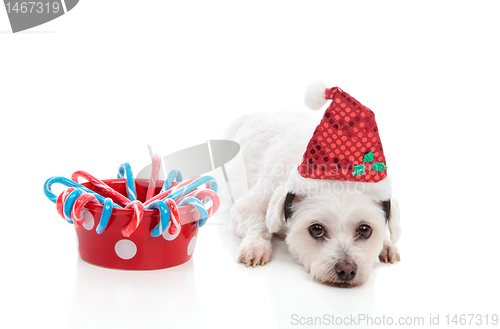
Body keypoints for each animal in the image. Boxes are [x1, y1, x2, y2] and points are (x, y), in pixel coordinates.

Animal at [225, 85, 400, 288]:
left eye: (365, 230)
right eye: (316, 229)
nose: (347, 270)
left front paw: (387, 244)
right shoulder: (248, 205)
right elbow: (258, 223)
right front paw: (255, 246)